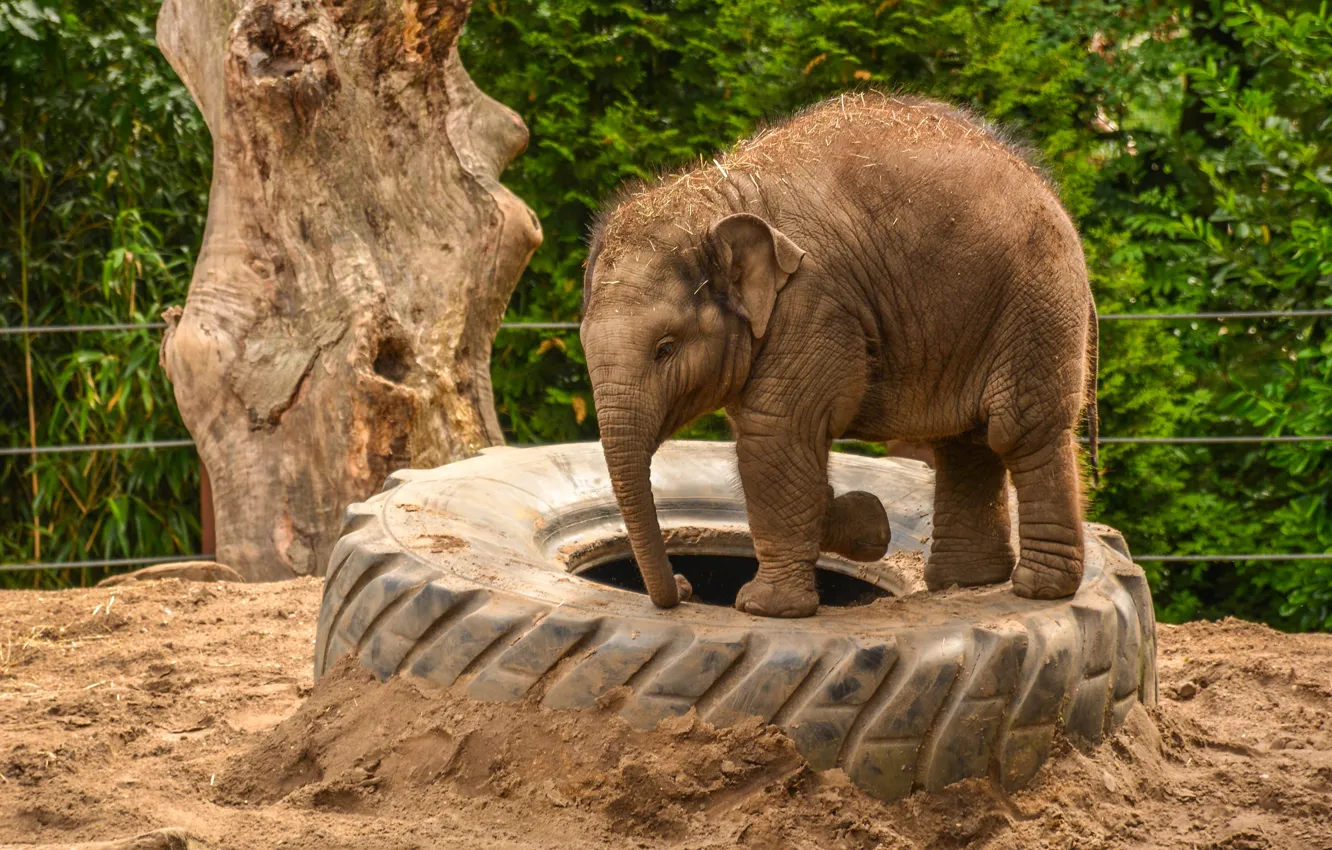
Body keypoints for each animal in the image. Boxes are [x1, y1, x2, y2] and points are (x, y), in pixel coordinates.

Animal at [580, 92, 1098, 618]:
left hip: (1037, 303)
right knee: (964, 442)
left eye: (664, 349)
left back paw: (1039, 589)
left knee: (1018, 430)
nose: (685, 588)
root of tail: (1049, 190)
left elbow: (775, 432)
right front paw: (870, 524)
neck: (719, 196)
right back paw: (965, 581)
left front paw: (765, 608)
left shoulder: (812, 300)